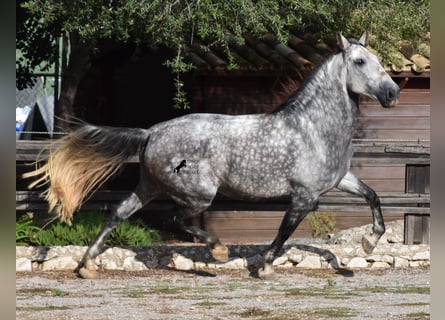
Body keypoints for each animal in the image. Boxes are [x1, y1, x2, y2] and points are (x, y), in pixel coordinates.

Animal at [25, 31, 398, 278]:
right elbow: (284, 232)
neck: (313, 128)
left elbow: (373, 197)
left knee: (119, 212)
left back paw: (87, 266)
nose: (392, 93)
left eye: (380, 61)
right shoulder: (305, 196)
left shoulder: (341, 180)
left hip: (148, 186)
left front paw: (369, 244)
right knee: (176, 220)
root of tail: (152, 132)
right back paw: (217, 252)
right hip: (199, 194)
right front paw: (264, 267)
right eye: (360, 61)